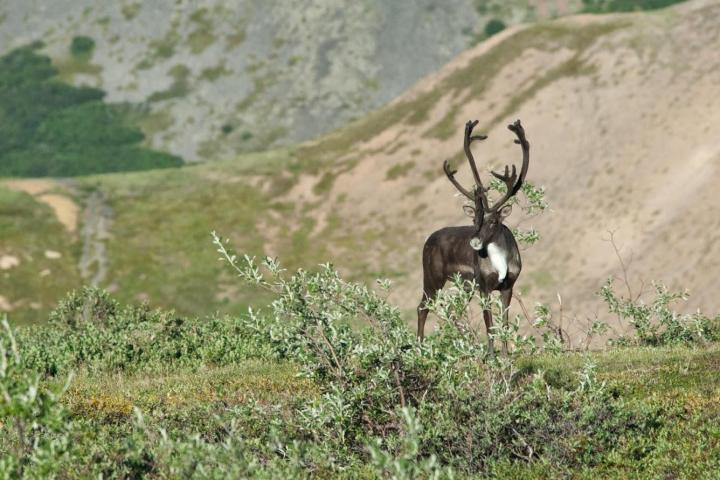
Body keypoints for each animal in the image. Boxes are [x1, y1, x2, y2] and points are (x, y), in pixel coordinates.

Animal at [417, 119, 530, 355]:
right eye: (474, 220)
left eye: (493, 221)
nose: (475, 242)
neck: (500, 261)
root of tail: (427, 241)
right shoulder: (484, 286)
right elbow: (489, 323)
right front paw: (492, 355)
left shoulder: (508, 286)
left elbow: (504, 322)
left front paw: (505, 355)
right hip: (432, 278)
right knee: (423, 307)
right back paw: (419, 349)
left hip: (461, 286)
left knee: (451, 309)